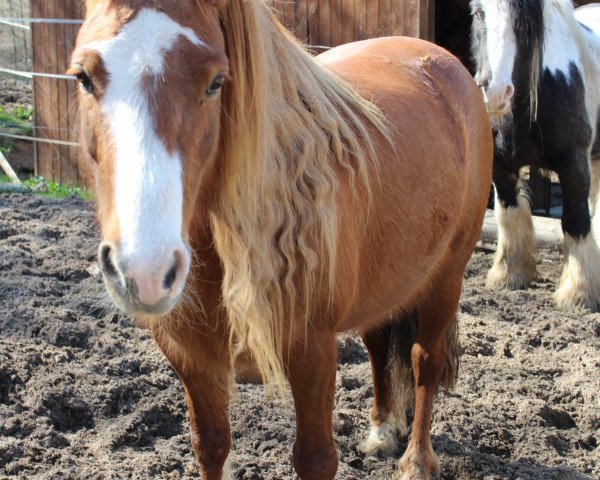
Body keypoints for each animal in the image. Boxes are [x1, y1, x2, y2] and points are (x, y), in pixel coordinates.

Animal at [70, 1, 492, 478]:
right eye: (83, 77)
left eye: (216, 81)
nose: (145, 270)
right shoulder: (190, 357)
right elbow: (209, 446)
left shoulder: (312, 351)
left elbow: (315, 457)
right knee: (378, 343)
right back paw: (383, 430)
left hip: (446, 277)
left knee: (425, 361)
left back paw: (417, 460)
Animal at [472, 0, 600, 310]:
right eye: (478, 13)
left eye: (522, 22)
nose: (495, 92)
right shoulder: (501, 166)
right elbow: (509, 213)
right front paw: (510, 275)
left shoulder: (574, 164)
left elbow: (575, 220)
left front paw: (579, 293)